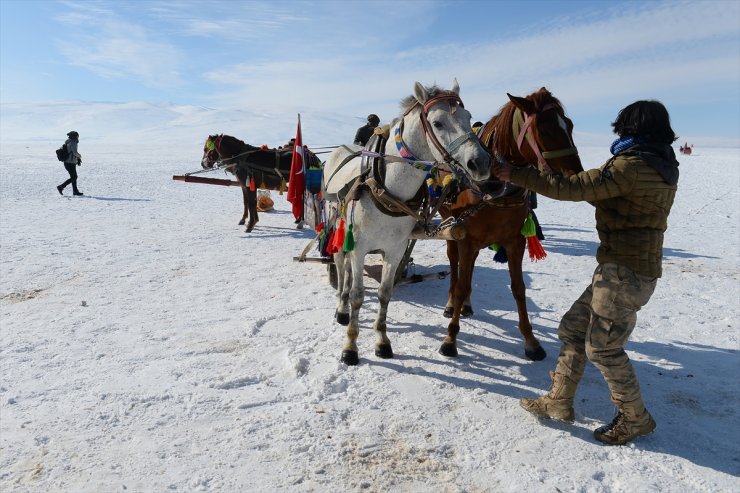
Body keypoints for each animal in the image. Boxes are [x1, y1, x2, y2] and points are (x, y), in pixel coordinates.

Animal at [324, 80, 492, 366]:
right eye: (437, 123)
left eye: (468, 117)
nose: (479, 163)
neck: (387, 186)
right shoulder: (360, 247)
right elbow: (358, 296)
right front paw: (351, 347)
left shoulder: (395, 249)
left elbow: (384, 293)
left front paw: (382, 341)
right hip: (339, 227)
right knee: (341, 265)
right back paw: (341, 308)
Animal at [440, 86, 584, 360]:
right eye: (545, 129)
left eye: (570, 125)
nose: (575, 174)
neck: (494, 186)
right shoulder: (466, 238)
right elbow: (462, 283)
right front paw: (450, 338)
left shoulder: (515, 242)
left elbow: (518, 288)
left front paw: (531, 341)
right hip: (451, 227)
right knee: (454, 264)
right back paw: (452, 303)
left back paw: (466, 305)